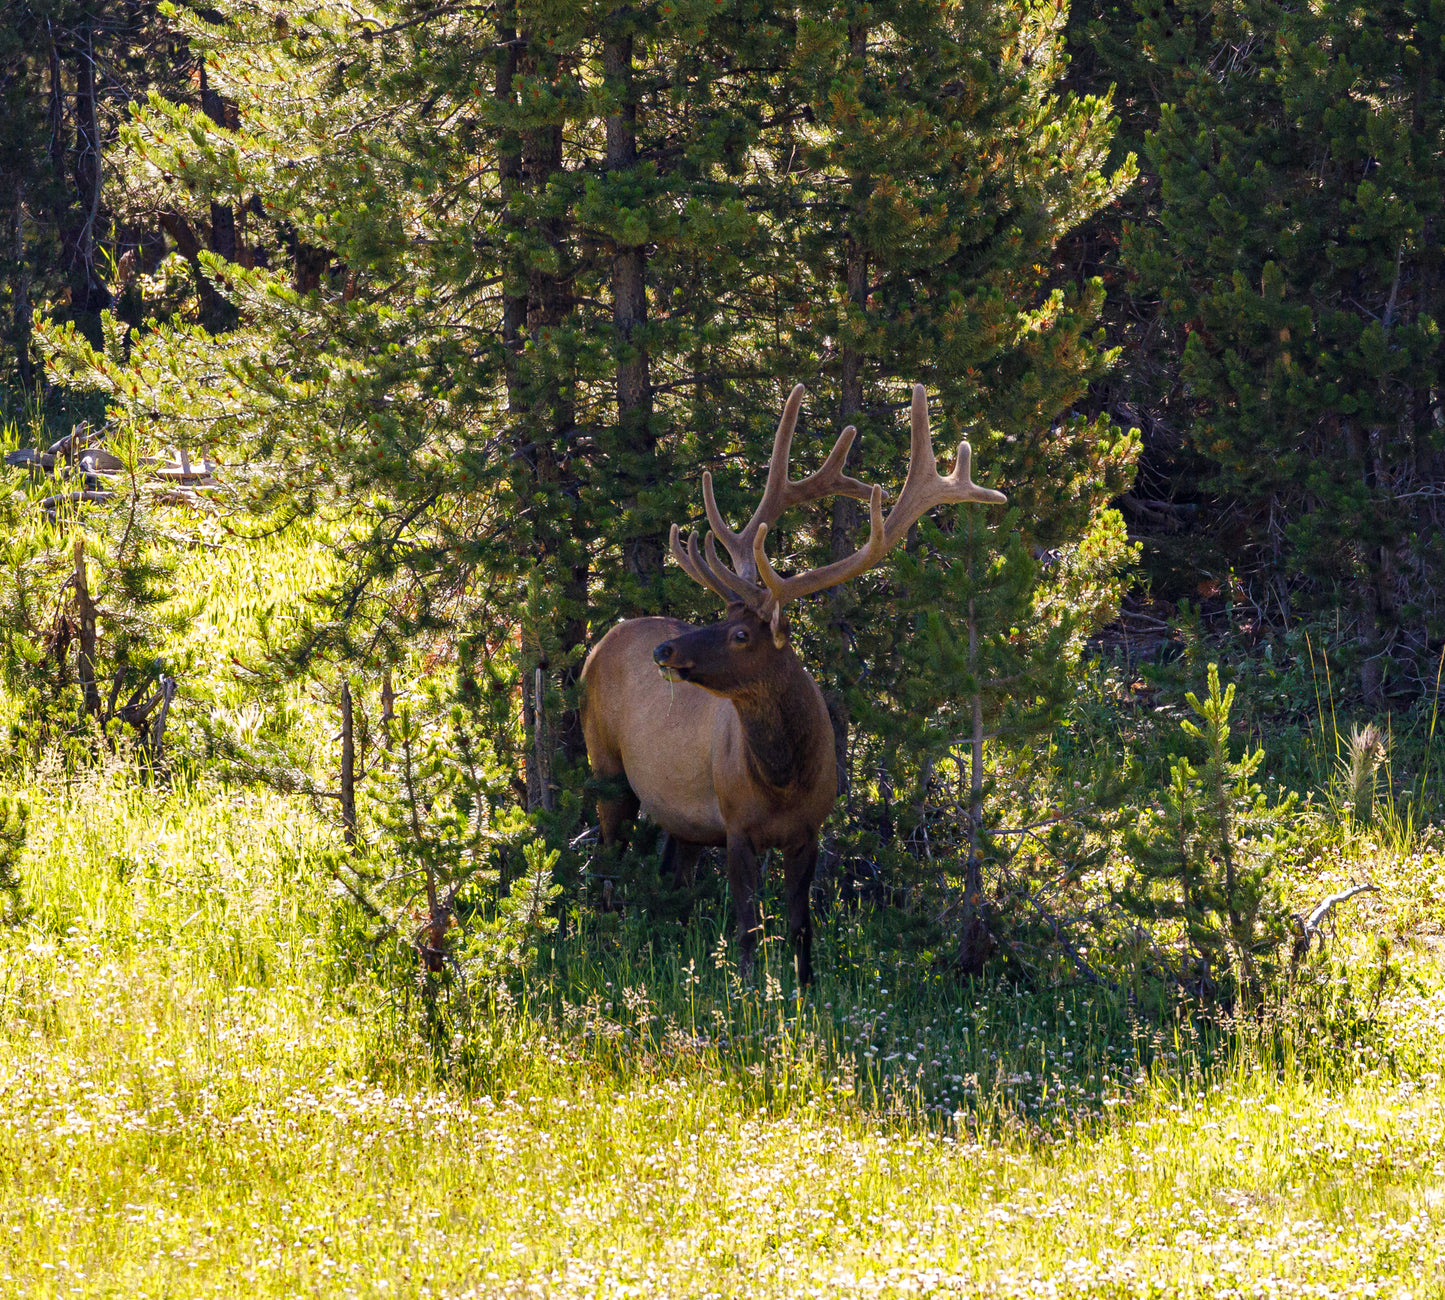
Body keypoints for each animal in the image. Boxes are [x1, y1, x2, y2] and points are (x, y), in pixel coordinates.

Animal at [580, 387, 1011, 988]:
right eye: (723, 614)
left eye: (740, 632)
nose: (664, 652)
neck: (783, 781)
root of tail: (599, 645)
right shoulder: (736, 824)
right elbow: (748, 927)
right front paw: (748, 992)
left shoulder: (808, 829)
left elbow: (800, 925)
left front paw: (804, 992)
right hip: (605, 761)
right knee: (609, 858)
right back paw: (609, 940)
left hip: (683, 817)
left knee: (672, 873)